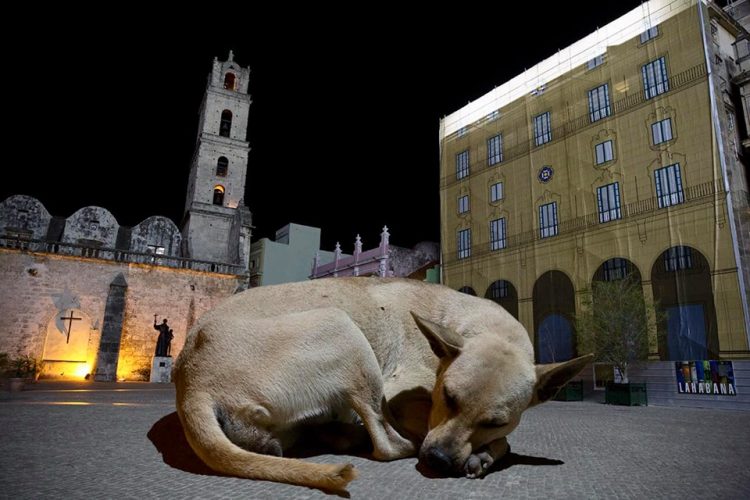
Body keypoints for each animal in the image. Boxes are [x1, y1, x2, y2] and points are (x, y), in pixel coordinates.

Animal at [173, 278, 592, 492]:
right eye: (447, 397)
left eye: (494, 420)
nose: (438, 461)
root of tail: (192, 385)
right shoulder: (401, 397)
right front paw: (484, 453)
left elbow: (502, 439)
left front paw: (484, 453)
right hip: (343, 329)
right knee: (389, 445)